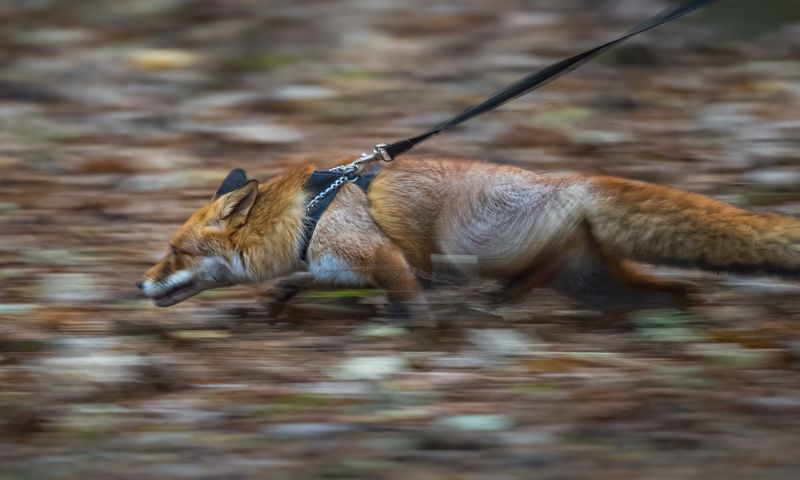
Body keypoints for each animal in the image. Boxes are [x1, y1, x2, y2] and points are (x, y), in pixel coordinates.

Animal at [139, 158, 800, 323]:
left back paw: (499, 301)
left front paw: (421, 336)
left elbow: (411, 307)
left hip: (471, 241)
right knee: (667, 293)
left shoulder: (385, 258)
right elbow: (299, 285)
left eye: (175, 253)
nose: (138, 283)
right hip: (595, 286)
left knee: (531, 272)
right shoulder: (341, 269)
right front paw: (273, 307)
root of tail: (572, 181)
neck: (308, 218)